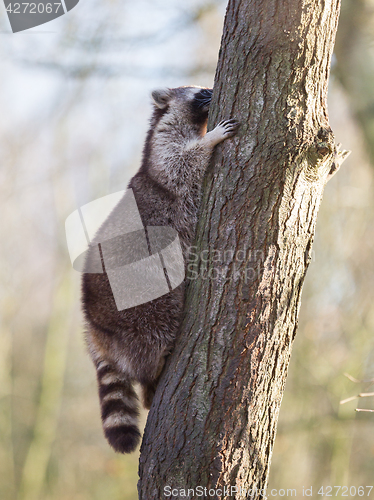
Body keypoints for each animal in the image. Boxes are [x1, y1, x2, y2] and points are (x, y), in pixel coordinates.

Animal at [81, 86, 240, 454]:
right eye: (201, 92)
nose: (212, 90)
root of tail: (94, 326)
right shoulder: (163, 155)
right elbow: (182, 164)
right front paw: (210, 140)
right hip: (140, 308)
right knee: (155, 331)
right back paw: (154, 371)